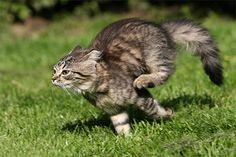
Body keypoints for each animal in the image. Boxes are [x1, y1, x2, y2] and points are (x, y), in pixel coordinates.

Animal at [51, 17, 223, 134]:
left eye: (65, 72)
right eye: (54, 70)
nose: (53, 79)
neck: (97, 90)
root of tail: (161, 27)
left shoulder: (140, 97)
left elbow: (154, 110)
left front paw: (168, 115)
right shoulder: (114, 110)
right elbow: (121, 125)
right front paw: (126, 140)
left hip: (153, 56)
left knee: (164, 72)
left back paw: (143, 80)